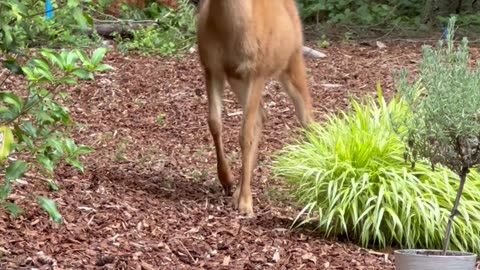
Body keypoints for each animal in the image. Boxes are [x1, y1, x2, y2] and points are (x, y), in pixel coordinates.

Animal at [196, 0, 316, 216]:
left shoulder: (257, 72)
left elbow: (245, 135)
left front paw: (246, 203)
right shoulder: (212, 68)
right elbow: (214, 123)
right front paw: (227, 180)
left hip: (291, 60)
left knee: (307, 118)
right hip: (237, 80)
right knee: (262, 115)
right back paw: (238, 190)